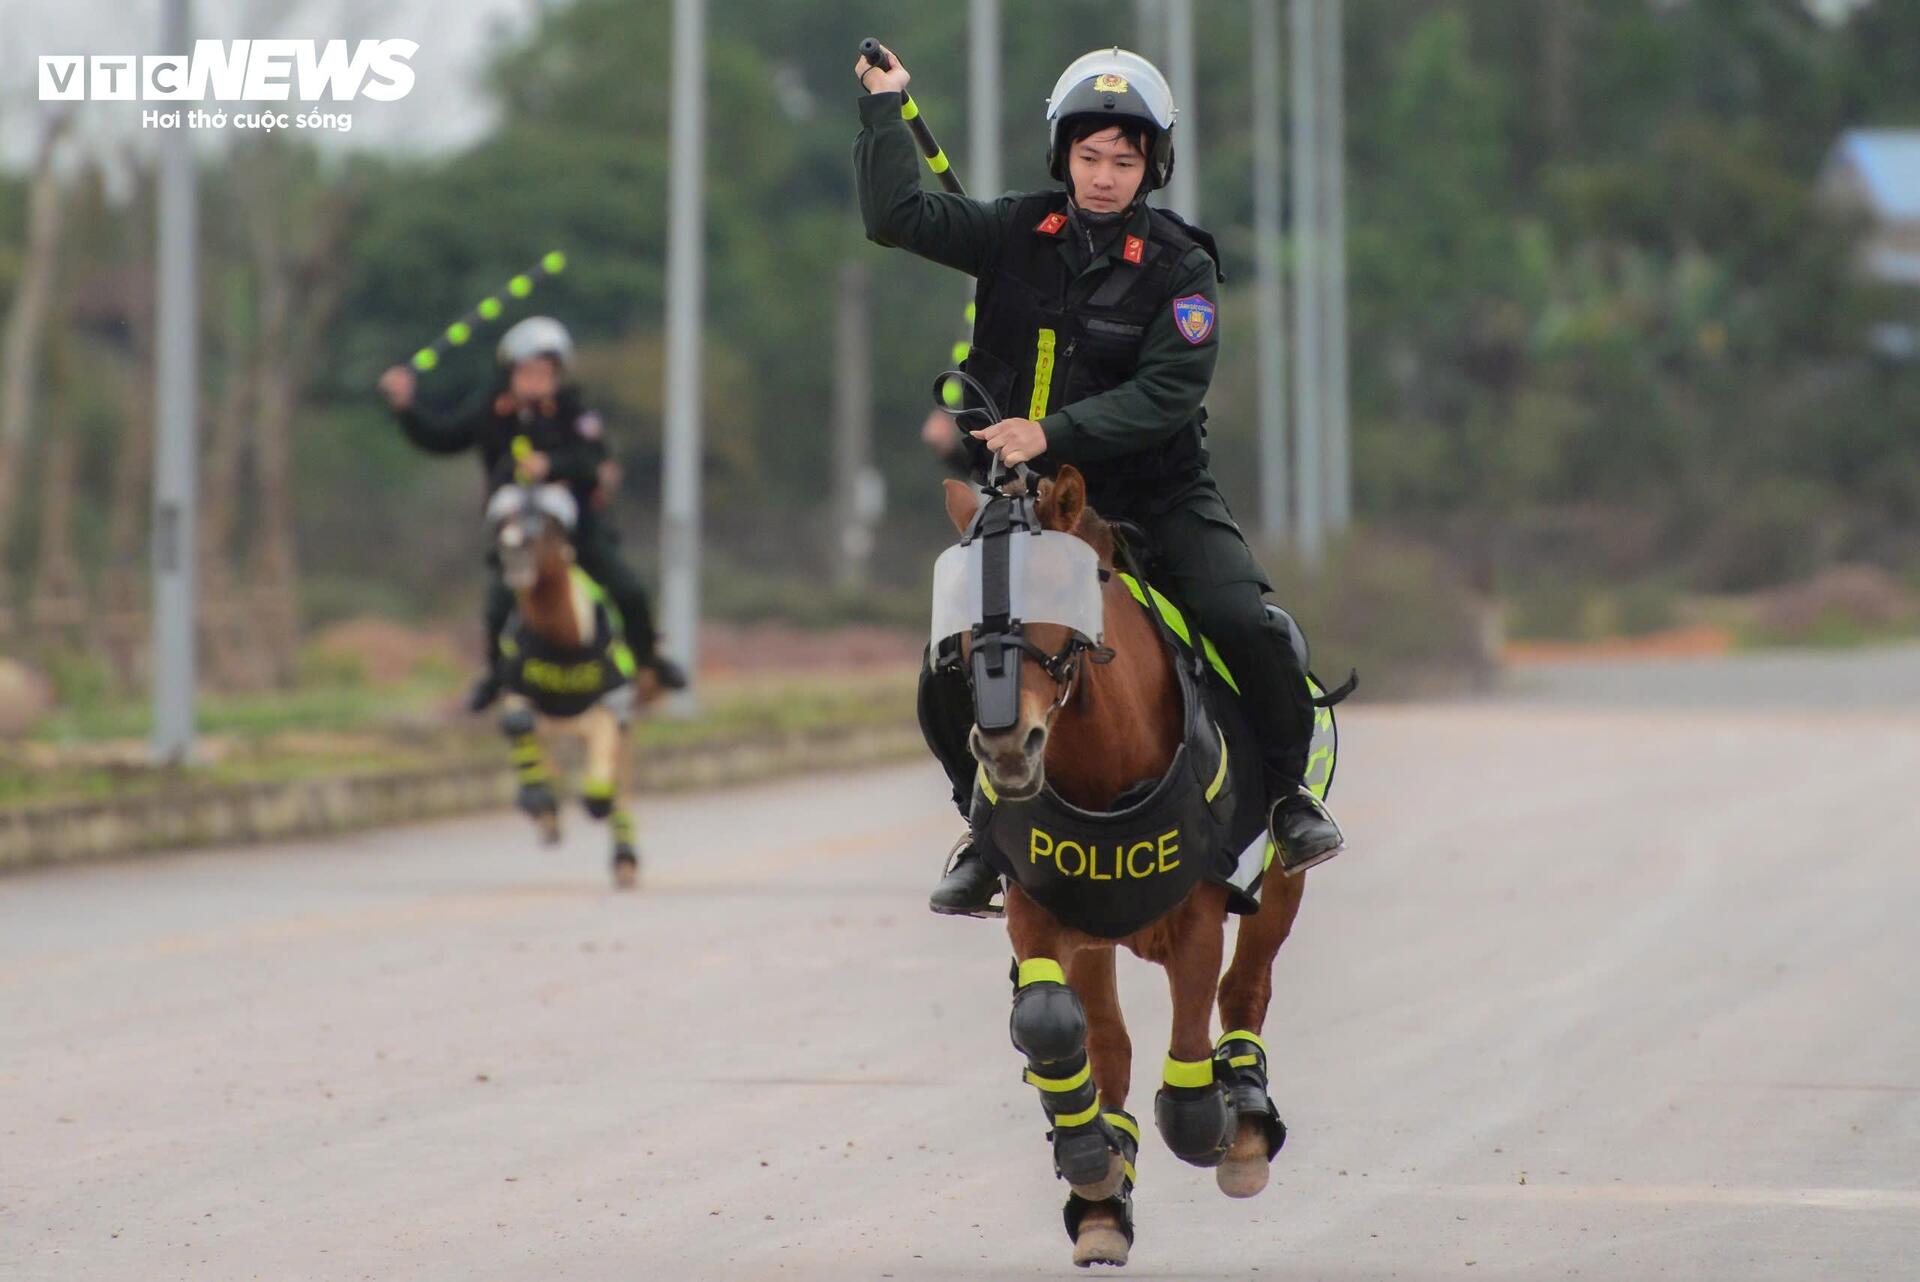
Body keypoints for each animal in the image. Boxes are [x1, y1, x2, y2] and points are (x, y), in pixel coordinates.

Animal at [491, 485, 656, 886]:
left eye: (544, 527)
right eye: (503, 524)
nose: (514, 555)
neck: (561, 636)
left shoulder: (611, 703)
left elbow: (601, 788)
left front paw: (598, 802)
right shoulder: (515, 686)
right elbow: (518, 723)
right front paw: (536, 798)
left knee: (620, 780)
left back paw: (624, 856)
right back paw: (547, 810)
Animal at [940, 466, 1305, 1266]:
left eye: (1060, 585)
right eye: (958, 605)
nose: (1006, 745)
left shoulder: (1200, 912)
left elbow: (1192, 1076)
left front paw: (1219, 1120)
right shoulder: (1042, 910)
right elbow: (1051, 1022)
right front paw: (1092, 1161)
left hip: (1280, 883)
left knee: (1247, 985)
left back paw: (1247, 1116)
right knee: (1107, 1043)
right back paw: (1104, 1195)